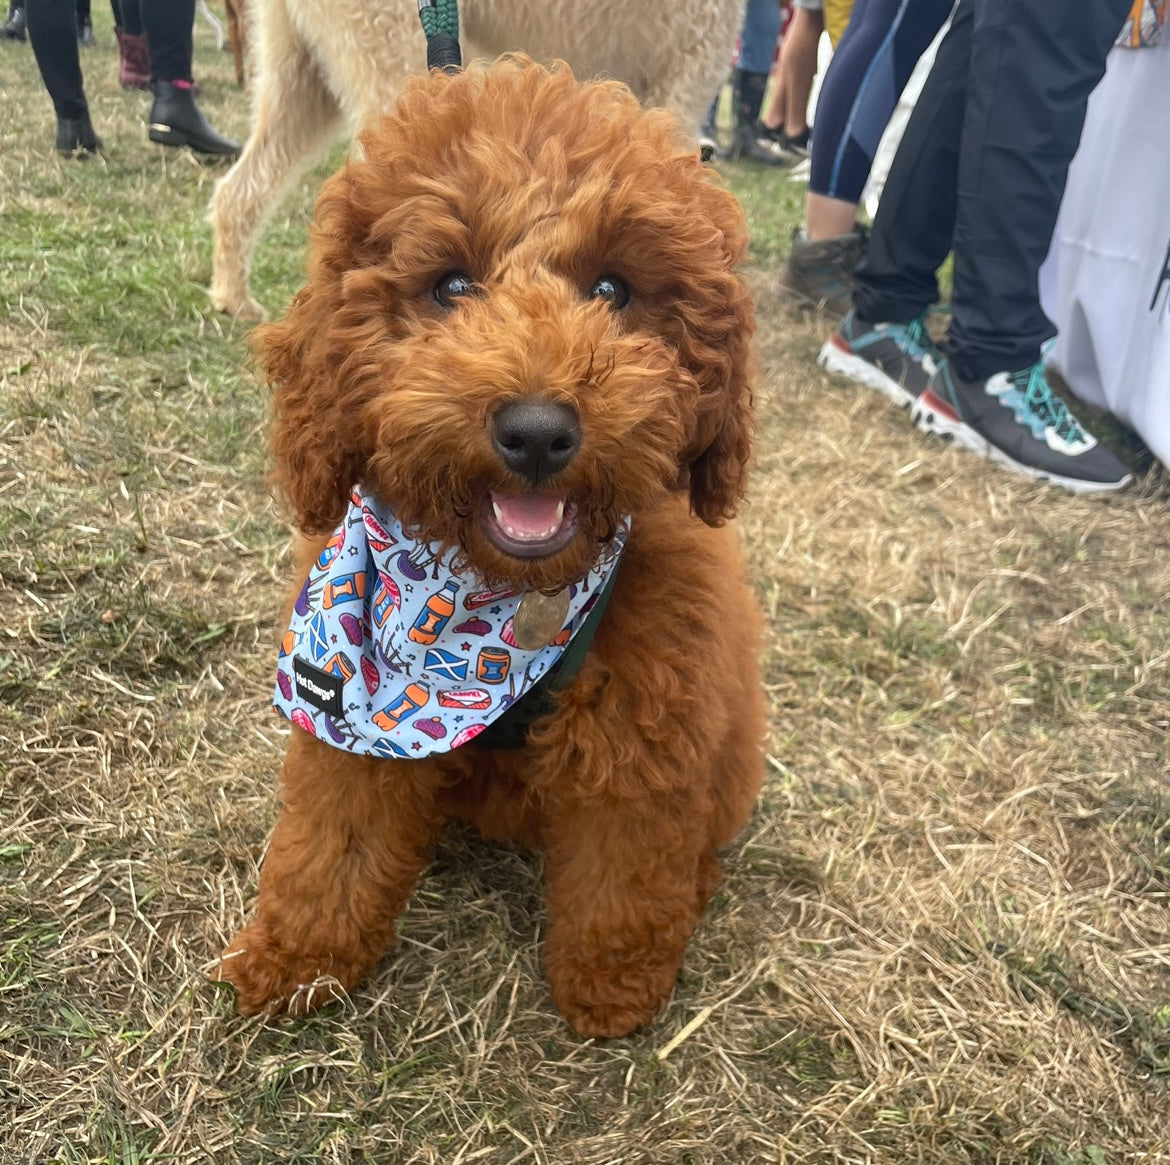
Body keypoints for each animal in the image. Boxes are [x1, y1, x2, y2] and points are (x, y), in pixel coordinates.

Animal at [218, 54, 767, 1038]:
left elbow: (626, 875)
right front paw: (294, 960)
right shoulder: (350, 714)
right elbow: (331, 842)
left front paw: (610, 988)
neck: (490, 604)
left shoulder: (647, 737)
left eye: (612, 289)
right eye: (450, 285)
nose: (538, 432)